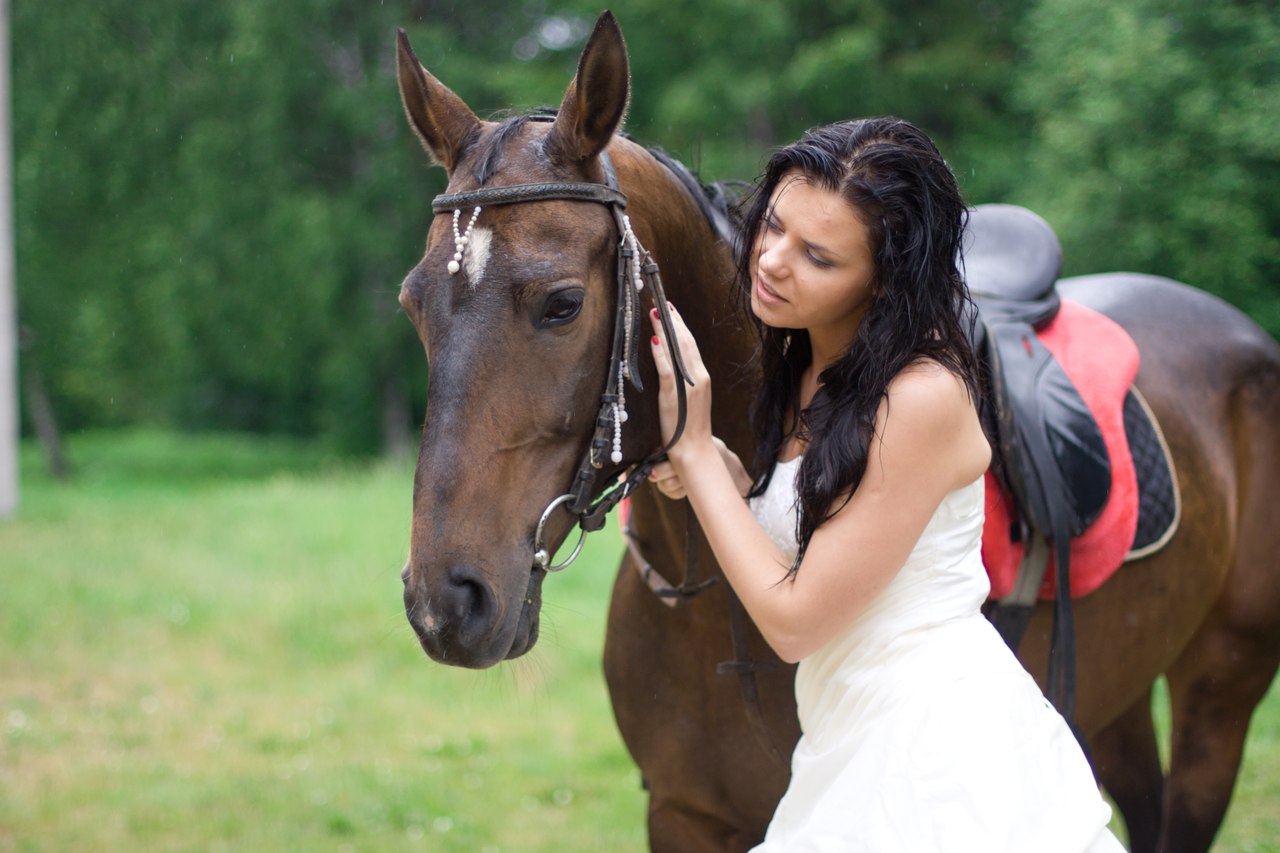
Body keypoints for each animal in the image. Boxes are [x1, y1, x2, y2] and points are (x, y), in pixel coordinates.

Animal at [394, 13, 1280, 850]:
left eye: (563, 303)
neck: (719, 604)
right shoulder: (682, 813)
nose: (447, 601)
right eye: (413, 304)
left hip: (1221, 684)